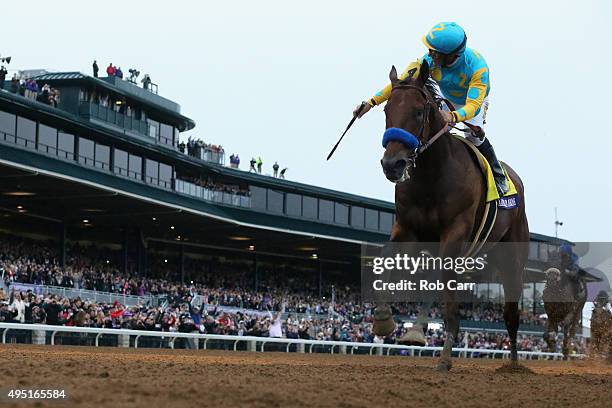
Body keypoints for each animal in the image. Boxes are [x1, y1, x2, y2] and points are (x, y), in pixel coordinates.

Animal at [372, 59, 532, 370]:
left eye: (418, 111)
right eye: (386, 110)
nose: (392, 164)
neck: (432, 176)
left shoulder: (456, 232)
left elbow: (447, 291)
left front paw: (445, 357)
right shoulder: (408, 229)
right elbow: (386, 260)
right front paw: (384, 320)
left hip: (512, 257)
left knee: (511, 312)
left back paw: (514, 364)